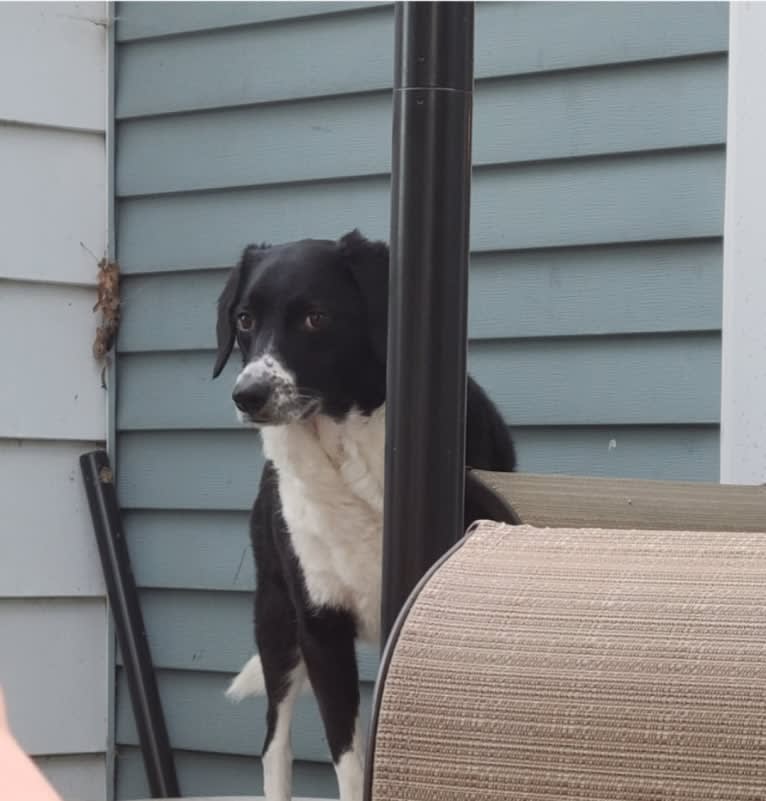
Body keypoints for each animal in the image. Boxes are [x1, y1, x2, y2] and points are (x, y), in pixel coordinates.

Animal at [213, 231, 520, 800]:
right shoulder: (320, 628)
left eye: (316, 318)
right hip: (275, 620)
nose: (247, 395)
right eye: (244, 319)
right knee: (274, 747)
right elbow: (352, 762)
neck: (346, 449)